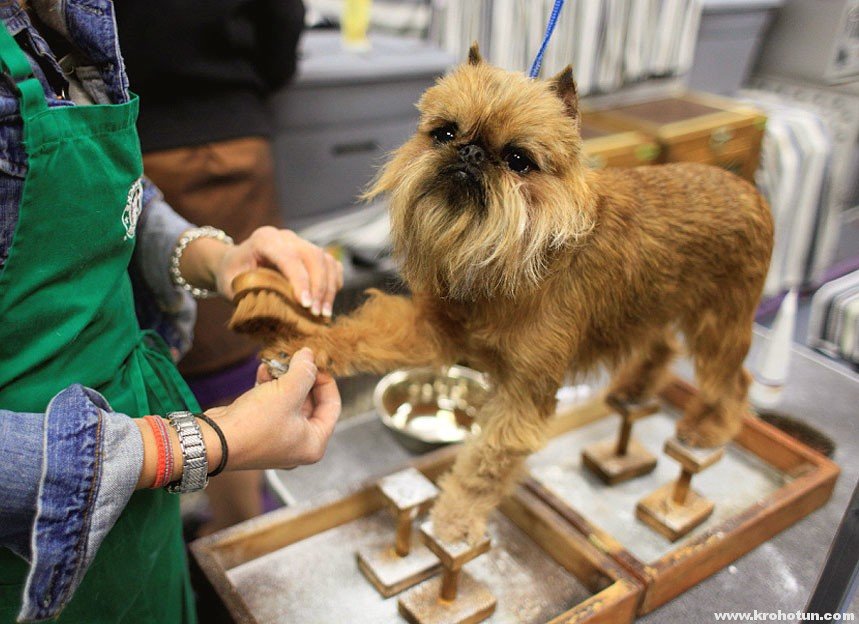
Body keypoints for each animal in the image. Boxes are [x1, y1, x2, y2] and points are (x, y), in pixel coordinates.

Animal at [261, 45, 774, 544]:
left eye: (518, 160)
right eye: (444, 133)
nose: (470, 151)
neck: (502, 259)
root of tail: (749, 190)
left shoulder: (522, 398)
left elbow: (484, 465)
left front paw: (454, 519)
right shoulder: (430, 330)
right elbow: (366, 334)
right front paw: (309, 346)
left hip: (720, 320)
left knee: (733, 379)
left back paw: (707, 428)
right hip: (650, 305)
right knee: (663, 344)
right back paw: (635, 387)